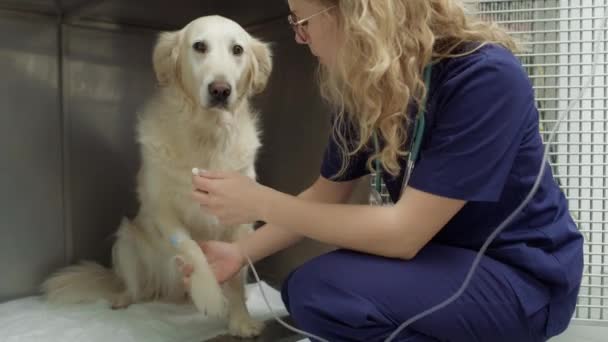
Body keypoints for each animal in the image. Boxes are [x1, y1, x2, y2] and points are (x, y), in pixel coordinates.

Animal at [41, 14, 274, 338]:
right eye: (199, 46)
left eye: (237, 50)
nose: (220, 90)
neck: (205, 135)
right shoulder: (161, 208)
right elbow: (190, 247)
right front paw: (209, 294)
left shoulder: (239, 219)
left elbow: (236, 275)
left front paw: (240, 320)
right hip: (126, 239)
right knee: (135, 288)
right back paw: (123, 298)